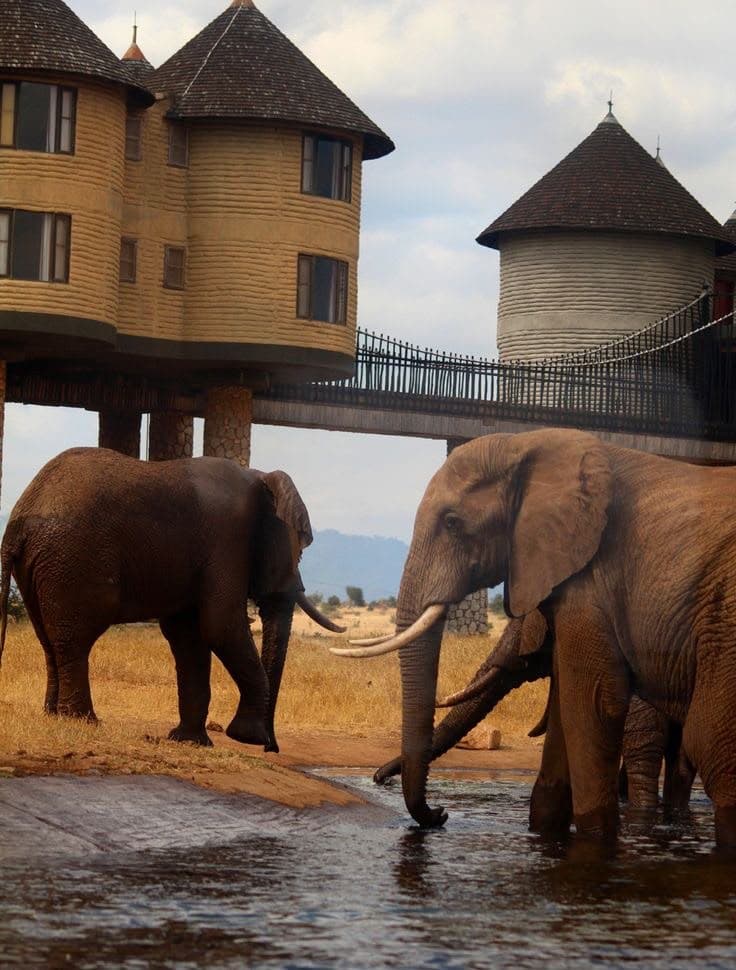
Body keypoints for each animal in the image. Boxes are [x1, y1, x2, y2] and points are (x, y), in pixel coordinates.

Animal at [0, 447, 341, 751]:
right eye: (300, 552)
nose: (272, 747)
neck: (259, 476)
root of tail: (19, 519)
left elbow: (188, 637)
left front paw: (190, 742)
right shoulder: (228, 541)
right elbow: (221, 627)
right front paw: (246, 737)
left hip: (42, 568)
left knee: (49, 641)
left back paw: (54, 716)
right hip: (72, 562)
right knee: (75, 640)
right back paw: (83, 722)